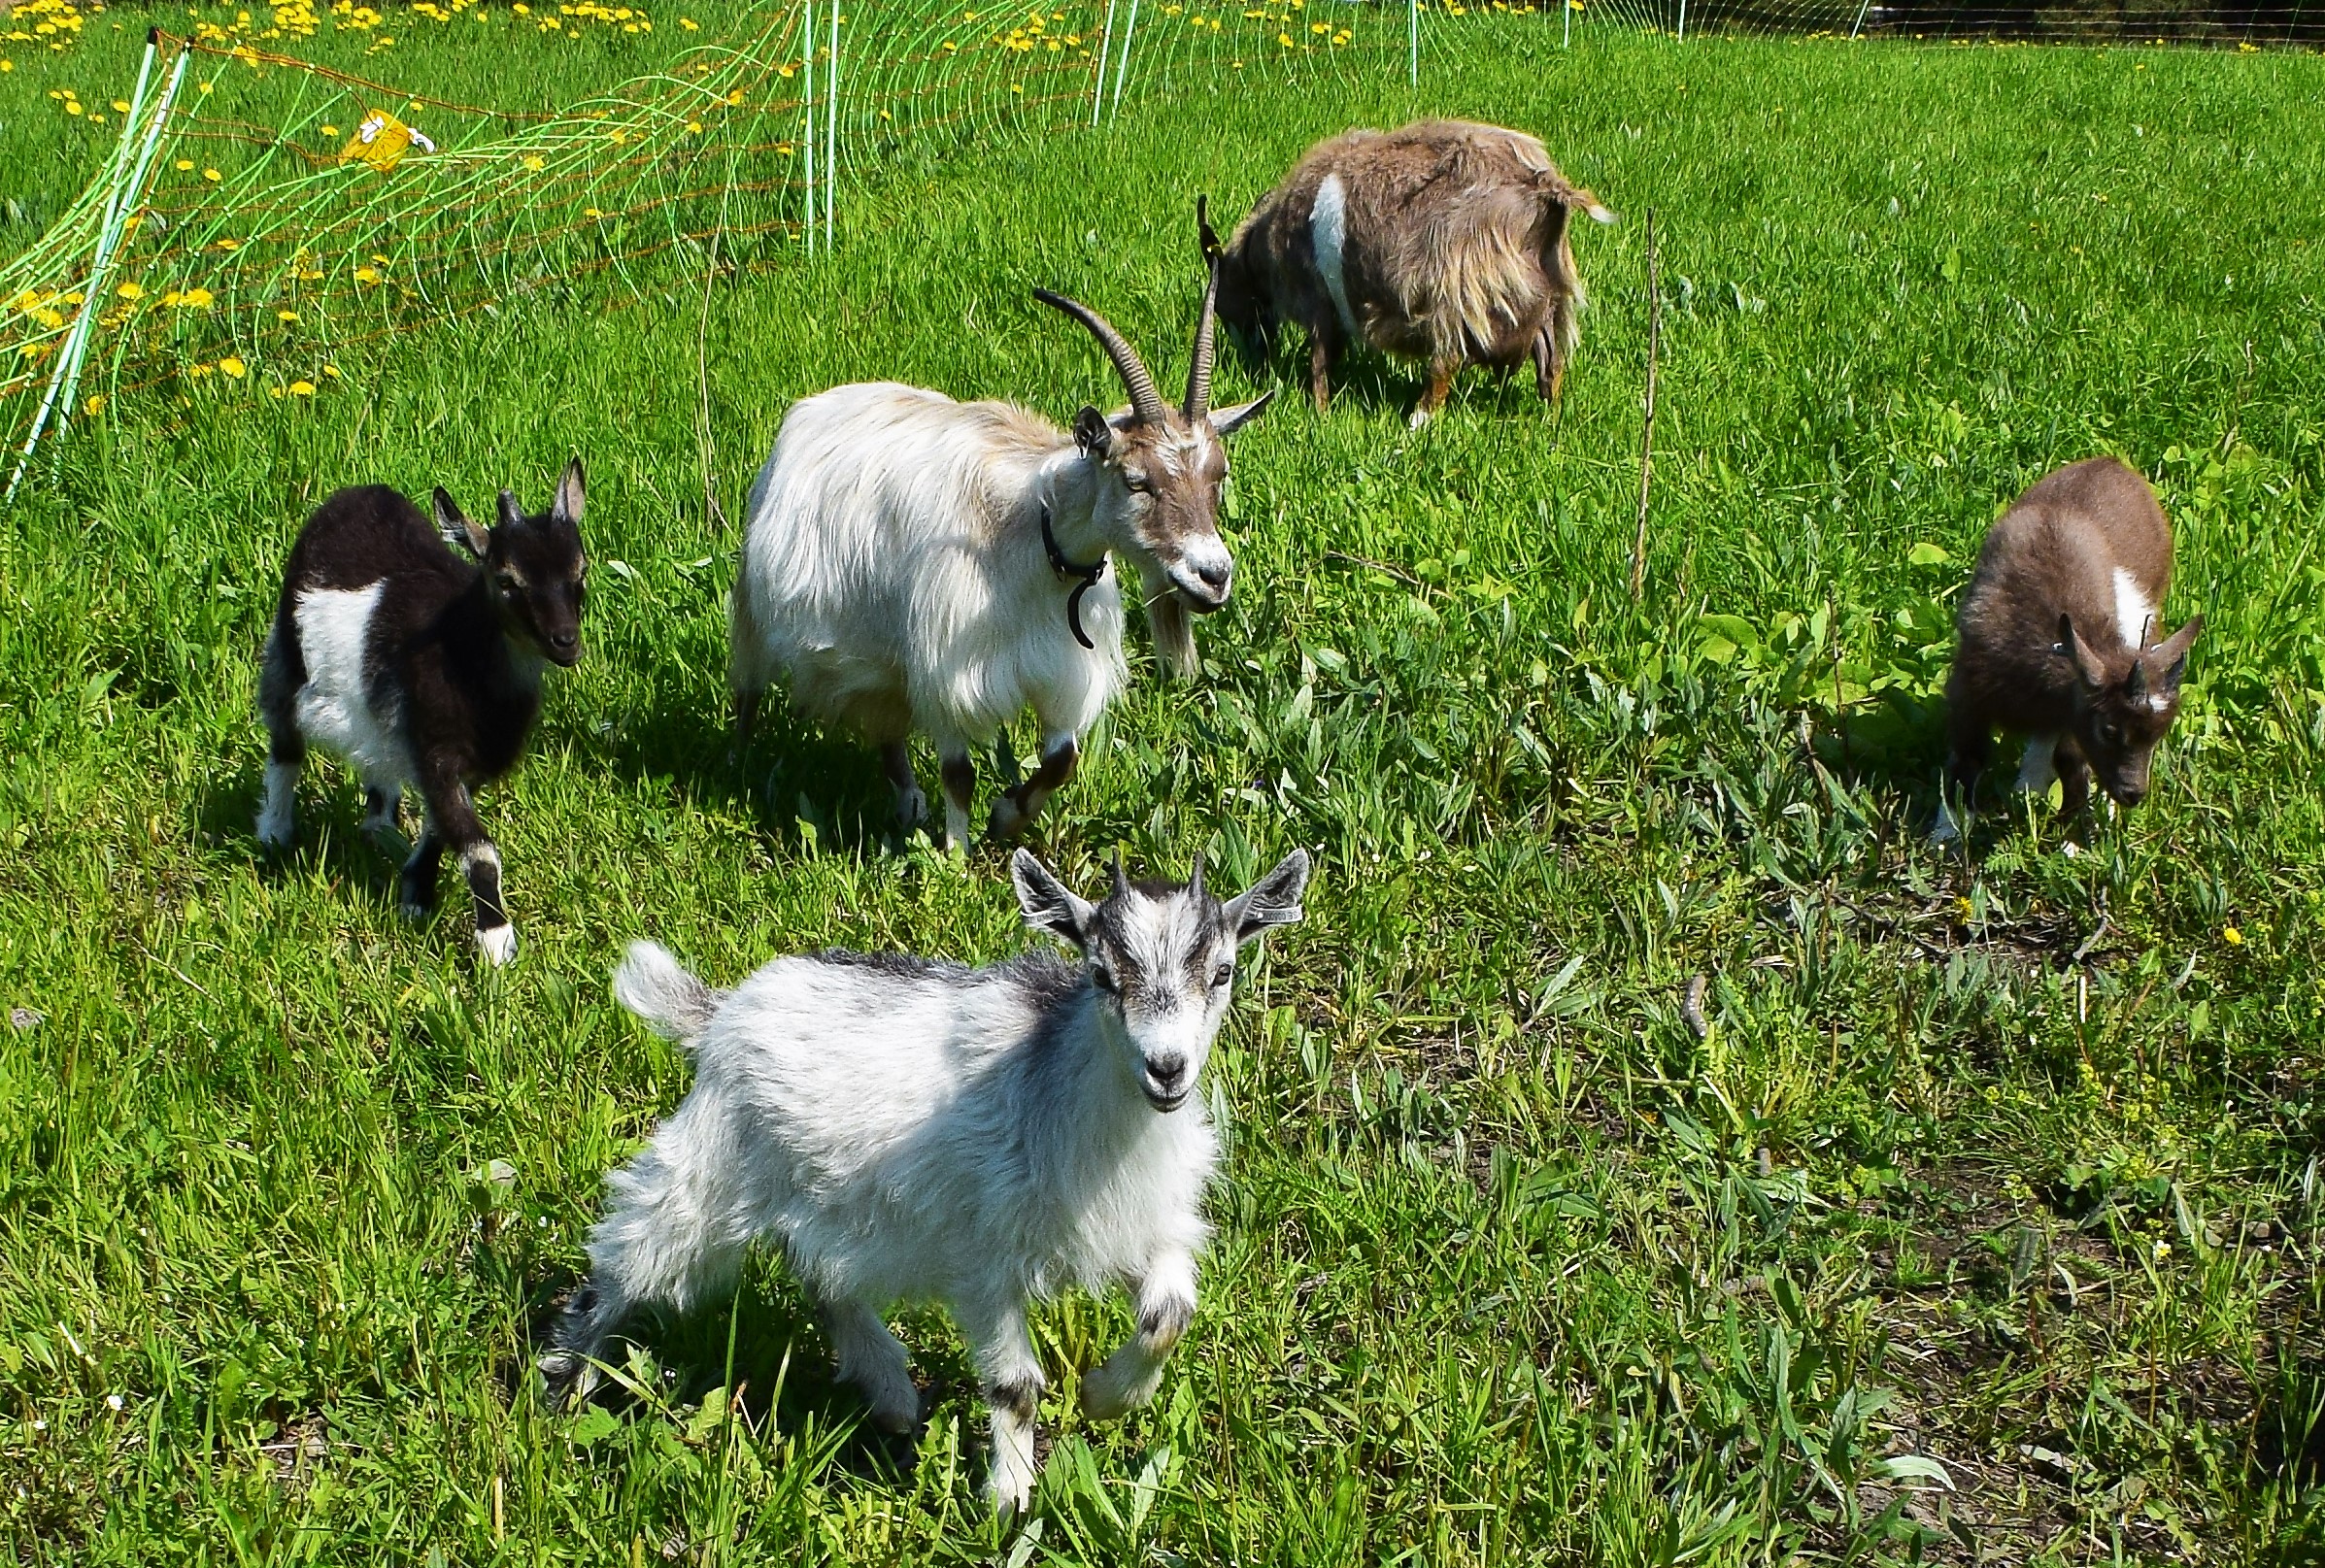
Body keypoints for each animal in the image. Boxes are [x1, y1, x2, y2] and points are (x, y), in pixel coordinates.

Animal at [255, 461, 589, 964]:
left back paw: (379, 827)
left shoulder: (466, 763)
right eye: (506, 580)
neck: (463, 649)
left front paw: (415, 896)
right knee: (285, 742)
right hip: (289, 659)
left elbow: (440, 828)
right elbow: (478, 850)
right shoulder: (436, 747)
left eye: (581, 571)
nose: (565, 641)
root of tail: (358, 494)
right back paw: (275, 832)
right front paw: (496, 943)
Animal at [542, 846, 1313, 1516]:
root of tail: (719, 1012)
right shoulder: (985, 1259)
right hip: (706, 1173)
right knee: (623, 1265)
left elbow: (1168, 1316)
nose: (1167, 1069)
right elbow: (1015, 1385)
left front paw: (1104, 1397)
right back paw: (560, 1389)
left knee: (821, 1276)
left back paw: (892, 1394)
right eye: (1099, 974)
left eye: (1224, 971)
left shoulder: (1143, 1228)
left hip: (831, 1197)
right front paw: (1011, 1499)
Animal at [728, 281, 1273, 848]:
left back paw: (907, 801)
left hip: (877, 645)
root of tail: (818, 405)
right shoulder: (947, 669)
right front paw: (955, 854)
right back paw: (738, 763)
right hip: (755, 606)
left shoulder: (1059, 669)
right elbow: (958, 773)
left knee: (886, 719)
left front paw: (1005, 816)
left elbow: (1061, 760)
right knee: (749, 685)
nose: (1213, 576)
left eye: (1218, 474)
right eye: (1136, 481)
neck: (1029, 534)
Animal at [1199, 118, 1615, 429]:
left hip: (1456, 289)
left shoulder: (1319, 301)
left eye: (1223, 302)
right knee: (1551, 366)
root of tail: (1544, 188)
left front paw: (1320, 414)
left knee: (1446, 361)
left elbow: (1320, 362)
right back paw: (1550, 423)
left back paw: (1417, 422)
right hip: (1549, 300)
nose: (1253, 360)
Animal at [1935, 456, 2203, 844]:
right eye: (2108, 729)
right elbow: (1969, 757)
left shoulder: (2072, 708)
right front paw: (1947, 834)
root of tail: (2113, 464)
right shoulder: (1968, 690)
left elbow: (2071, 761)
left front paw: (2076, 840)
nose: (2134, 794)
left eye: (2159, 735)